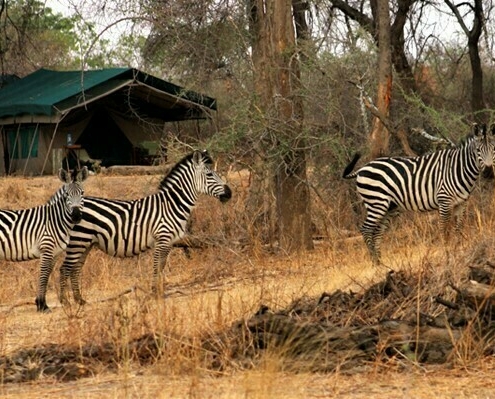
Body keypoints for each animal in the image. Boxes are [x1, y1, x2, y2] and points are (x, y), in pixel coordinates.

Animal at [0, 167, 88, 314]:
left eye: (82, 193)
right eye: (66, 195)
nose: (76, 216)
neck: (55, 220)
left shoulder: (55, 253)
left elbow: (47, 275)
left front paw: (40, 303)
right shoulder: (46, 249)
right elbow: (44, 275)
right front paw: (42, 305)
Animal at [59, 150, 233, 306]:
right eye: (209, 175)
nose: (229, 193)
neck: (171, 204)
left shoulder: (169, 242)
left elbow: (162, 267)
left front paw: (160, 292)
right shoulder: (161, 239)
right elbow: (156, 266)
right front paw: (154, 293)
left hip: (85, 243)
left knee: (75, 269)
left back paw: (80, 300)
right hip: (78, 241)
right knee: (65, 269)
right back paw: (65, 302)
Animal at [342, 122, 495, 266]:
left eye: (494, 149)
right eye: (478, 150)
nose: (488, 173)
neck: (458, 168)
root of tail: (362, 168)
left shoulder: (462, 203)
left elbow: (458, 228)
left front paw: (458, 251)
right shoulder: (444, 201)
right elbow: (444, 230)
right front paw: (447, 254)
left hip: (389, 207)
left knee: (377, 231)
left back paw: (382, 264)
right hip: (377, 202)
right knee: (366, 229)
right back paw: (375, 263)